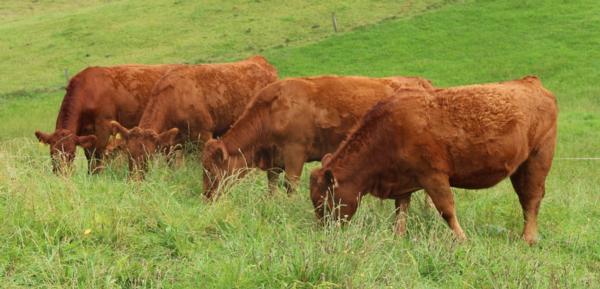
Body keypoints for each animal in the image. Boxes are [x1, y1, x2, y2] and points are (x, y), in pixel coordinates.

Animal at [34, 64, 183, 172]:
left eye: (72, 154)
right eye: (52, 153)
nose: (61, 173)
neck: (89, 92)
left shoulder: (104, 128)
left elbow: (98, 156)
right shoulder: (86, 134)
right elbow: (90, 158)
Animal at [110, 54, 278, 176]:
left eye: (148, 156)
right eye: (128, 155)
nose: (135, 179)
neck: (174, 99)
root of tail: (259, 60)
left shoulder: (204, 135)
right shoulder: (170, 144)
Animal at [204, 75, 434, 198]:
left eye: (211, 172)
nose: (206, 198)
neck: (272, 109)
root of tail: (421, 82)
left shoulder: (295, 152)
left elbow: (290, 184)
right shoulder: (274, 159)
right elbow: (272, 184)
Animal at [310, 76, 556, 243]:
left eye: (324, 202)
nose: (324, 232)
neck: (386, 132)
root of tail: (530, 82)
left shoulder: (433, 176)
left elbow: (446, 210)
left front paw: (463, 240)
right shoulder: (403, 184)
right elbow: (401, 213)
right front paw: (398, 238)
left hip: (537, 160)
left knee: (531, 199)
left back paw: (528, 239)